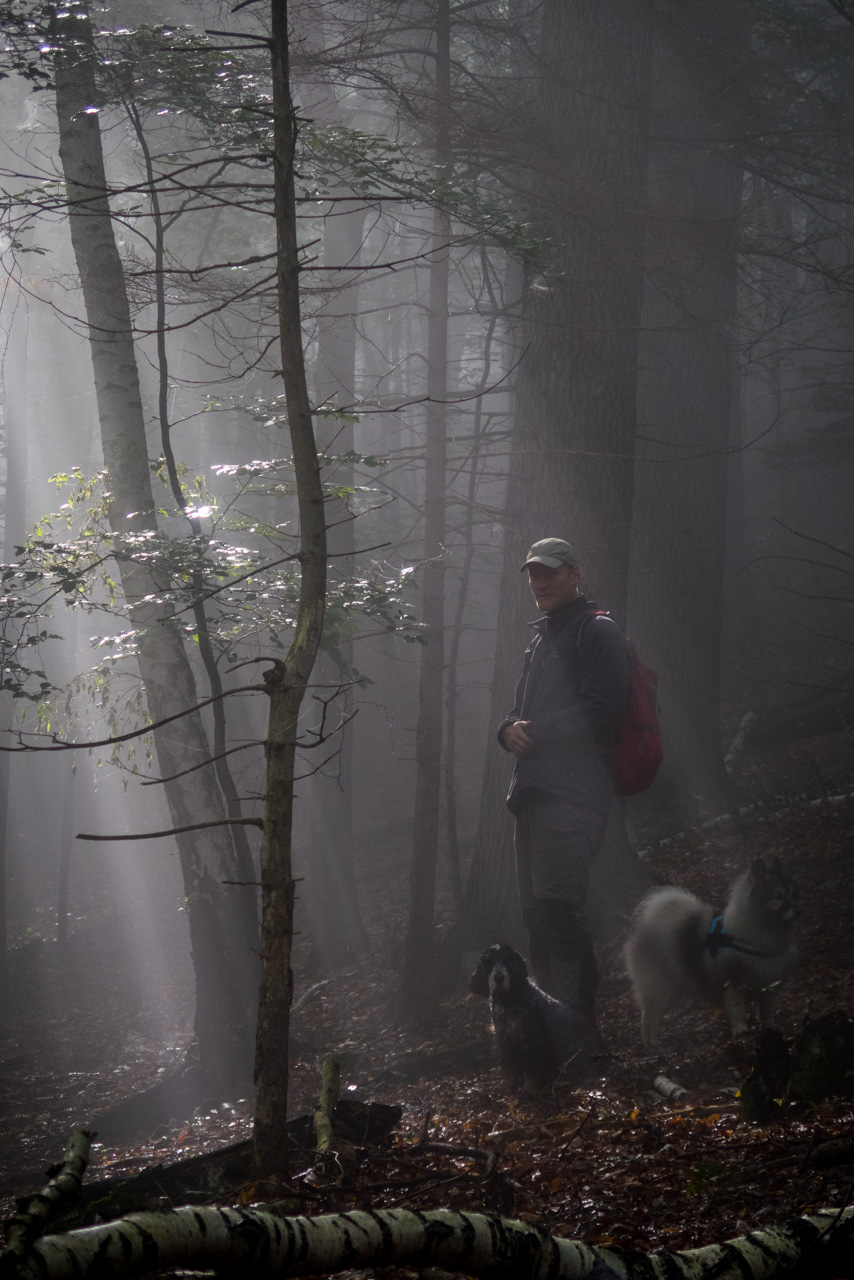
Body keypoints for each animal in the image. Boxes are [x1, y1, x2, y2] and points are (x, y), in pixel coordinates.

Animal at [471, 942, 599, 1090]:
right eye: (489, 962)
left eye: (508, 961)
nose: (499, 978)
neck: (507, 999)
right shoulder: (504, 1038)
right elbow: (509, 1068)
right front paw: (506, 1087)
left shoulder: (532, 1038)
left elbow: (531, 1069)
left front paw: (529, 1089)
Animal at [622, 860, 804, 1049]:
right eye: (777, 896)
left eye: (793, 894)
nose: (799, 910)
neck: (753, 940)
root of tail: (645, 928)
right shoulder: (733, 986)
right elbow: (738, 1013)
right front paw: (741, 1034)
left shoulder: (769, 987)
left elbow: (767, 1014)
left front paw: (770, 1030)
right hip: (661, 988)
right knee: (648, 1017)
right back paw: (650, 1044)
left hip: (673, 990)